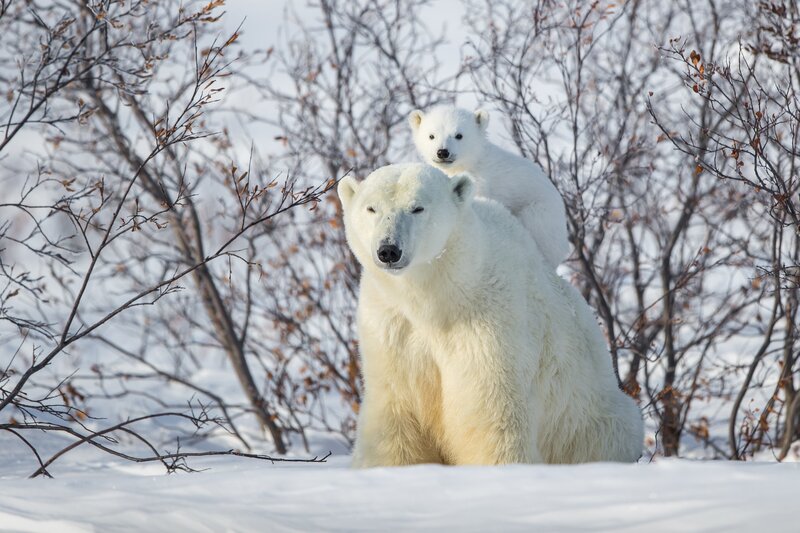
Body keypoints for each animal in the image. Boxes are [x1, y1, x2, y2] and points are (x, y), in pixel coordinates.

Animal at [338, 163, 643, 467]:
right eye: (371, 208)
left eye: (417, 208)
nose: (389, 250)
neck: (438, 298)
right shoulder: (391, 325)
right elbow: (396, 412)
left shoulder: (489, 321)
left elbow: (491, 411)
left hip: (587, 417)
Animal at [409, 105, 570, 269]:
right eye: (431, 136)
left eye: (459, 135)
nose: (442, 152)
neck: (471, 163)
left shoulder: (481, 182)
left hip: (540, 215)